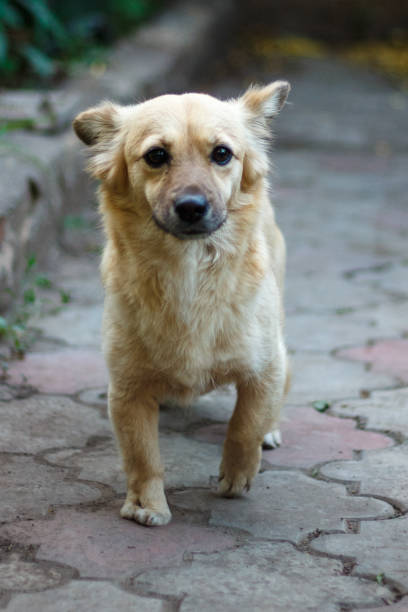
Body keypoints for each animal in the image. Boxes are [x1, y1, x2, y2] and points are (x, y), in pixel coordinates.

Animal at [73, 81, 290, 528]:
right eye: (157, 156)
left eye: (222, 153)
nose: (191, 207)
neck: (189, 273)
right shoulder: (126, 388)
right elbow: (141, 455)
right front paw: (147, 505)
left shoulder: (264, 367)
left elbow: (245, 424)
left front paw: (237, 476)